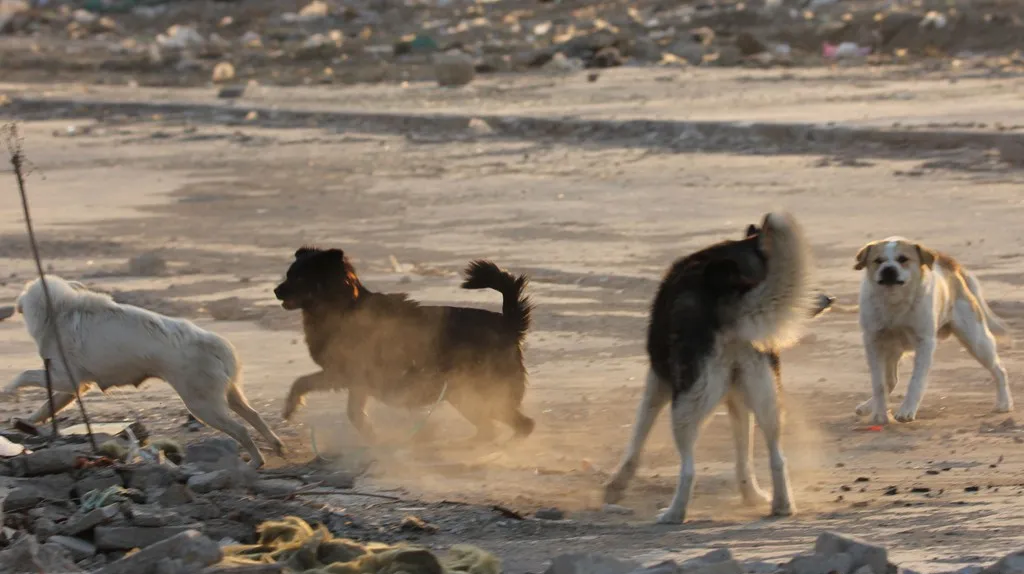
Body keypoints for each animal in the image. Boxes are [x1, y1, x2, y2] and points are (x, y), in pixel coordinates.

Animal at [4, 276, 284, 468]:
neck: (60, 310)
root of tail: (217, 344)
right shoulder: (73, 386)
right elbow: (47, 406)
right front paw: (28, 421)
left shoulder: (63, 377)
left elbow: (24, 375)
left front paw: (7, 391)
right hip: (228, 395)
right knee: (254, 416)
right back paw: (276, 445)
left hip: (202, 405)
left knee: (241, 430)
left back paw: (256, 462)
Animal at [272, 247, 536, 444]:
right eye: (288, 273)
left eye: (300, 277)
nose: (275, 290)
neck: (342, 306)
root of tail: (508, 324)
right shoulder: (356, 381)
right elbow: (351, 411)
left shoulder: (344, 373)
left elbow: (303, 382)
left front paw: (290, 407)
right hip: (465, 394)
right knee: (494, 428)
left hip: (478, 391)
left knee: (523, 425)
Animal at [851, 235, 1011, 423]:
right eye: (878, 261)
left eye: (903, 259)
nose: (888, 269)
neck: (895, 302)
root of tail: (948, 262)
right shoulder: (873, 342)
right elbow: (879, 383)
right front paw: (879, 414)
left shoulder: (924, 343)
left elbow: (916, 381)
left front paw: (907, 410)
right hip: (892, 348)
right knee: (890, 380)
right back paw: (867, 406)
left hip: (977, 340)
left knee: (999, 370)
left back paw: (1004, 403)